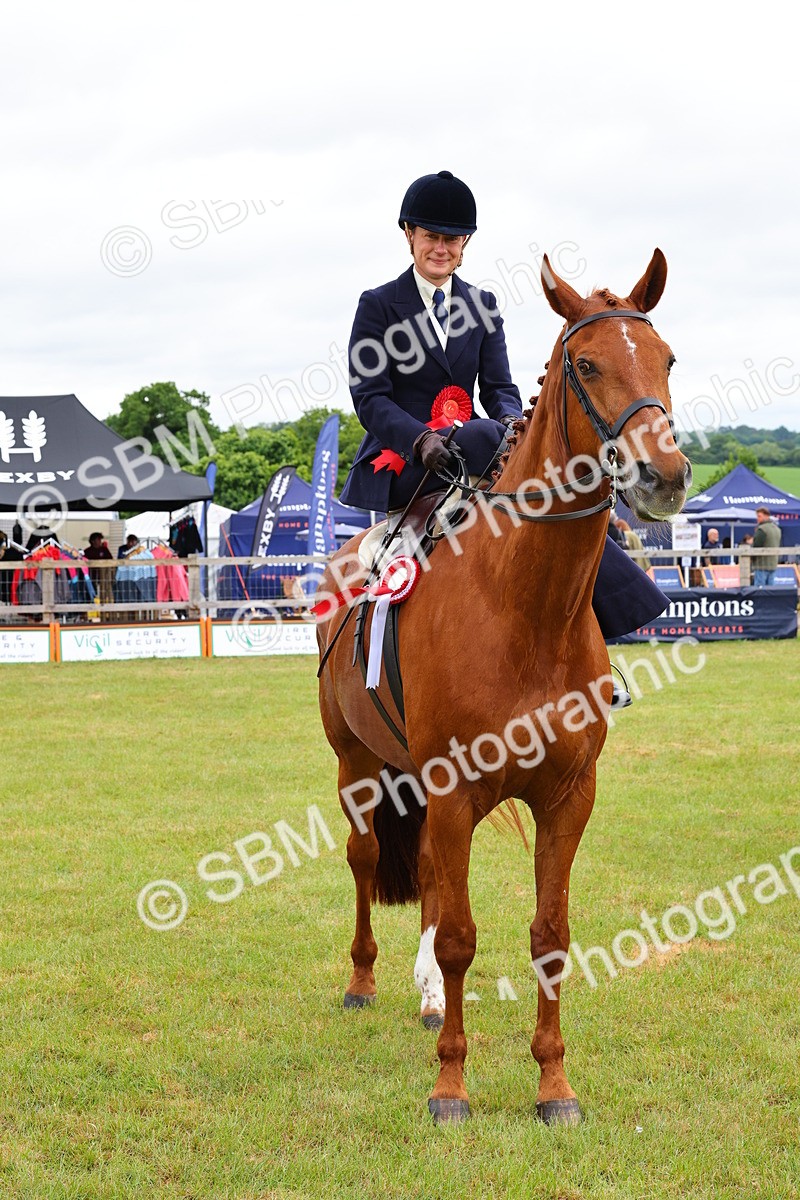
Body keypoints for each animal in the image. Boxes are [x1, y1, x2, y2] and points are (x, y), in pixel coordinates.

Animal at [316, 249, 691, 1125]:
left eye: (666, 360)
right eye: (586, 365)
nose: (663, 477)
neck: (524, 605)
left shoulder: (567, 795)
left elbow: (549, 935)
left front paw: (554, 1087)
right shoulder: (454, 789)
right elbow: (461, 937)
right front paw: (450, 1088)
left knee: (423, 868)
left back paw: (425, 999)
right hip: (357, 765)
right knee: (364, 857)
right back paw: (363, 982)